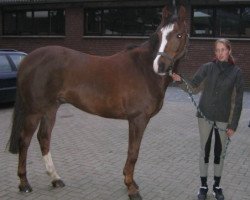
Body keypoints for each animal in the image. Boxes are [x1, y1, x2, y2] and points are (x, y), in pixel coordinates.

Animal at [7, 4, 188, 200]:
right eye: (160, 34)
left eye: (179, 35)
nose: (160, 66)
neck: (145, 70)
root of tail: (28, 59)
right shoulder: (138, 119)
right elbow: (133, 152)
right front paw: (131, 188)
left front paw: (130, 181)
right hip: (34, 111)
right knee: (24, 140)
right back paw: (24, 183)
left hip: (50, 109)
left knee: (44, 138)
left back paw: (55, 179)